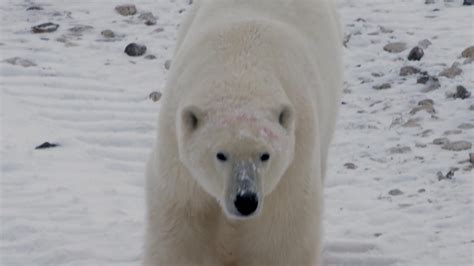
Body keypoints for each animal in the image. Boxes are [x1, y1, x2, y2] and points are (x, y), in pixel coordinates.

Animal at [143, 0, 342, 264]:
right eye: (220, 154)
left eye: (265, 155)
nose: (246, 200)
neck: (240, 68)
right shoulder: (176, 157)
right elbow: (181, 228)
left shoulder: (294, 160)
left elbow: (283, 235)